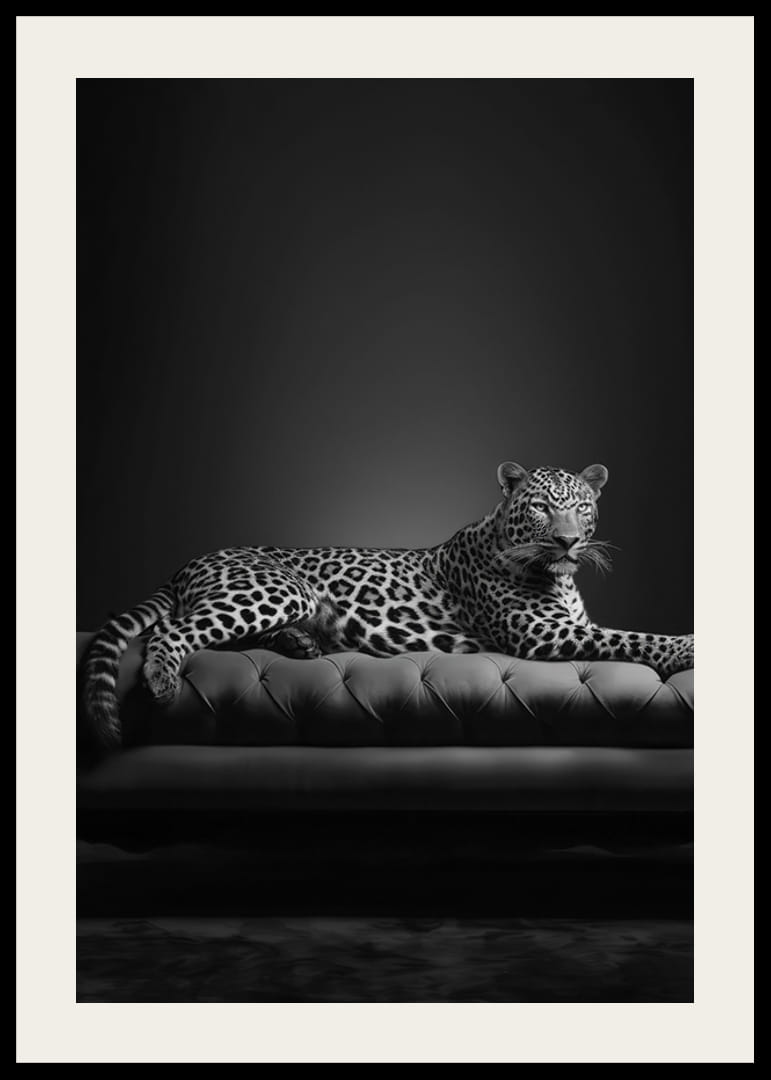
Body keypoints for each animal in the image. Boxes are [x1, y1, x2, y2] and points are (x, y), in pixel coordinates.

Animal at [83, 460, 694, 748]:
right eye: (543, 507)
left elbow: (624, 632)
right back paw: (163, 680)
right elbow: (632, 637)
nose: (568, 541)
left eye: (582, 507)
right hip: (277, 588)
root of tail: (187, 562)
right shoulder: (541, 633)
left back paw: (300, 643)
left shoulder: (566, 623)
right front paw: (688, 646)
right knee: (173, 632)